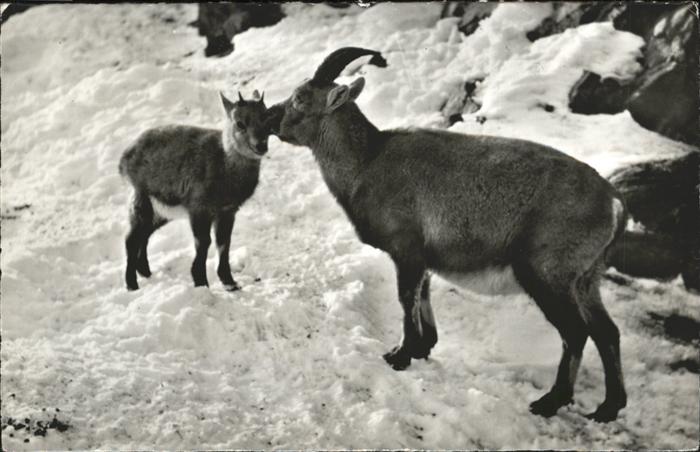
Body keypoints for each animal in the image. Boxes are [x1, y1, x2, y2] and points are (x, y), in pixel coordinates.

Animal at [119, 90, 269, 291]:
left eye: (266, 116)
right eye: (240, 123)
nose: (260, 145)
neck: (225, 167)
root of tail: (125, 158)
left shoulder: (228, 211)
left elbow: (224, 243)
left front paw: (229, 282)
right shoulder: (199, 208)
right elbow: (204, 242)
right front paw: (200, 281)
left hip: (162, 210)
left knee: (145, 234)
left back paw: (144, 271)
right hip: (142, 197)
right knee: (132, 238)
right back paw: (132, 284)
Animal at [267, 47, 628, 422]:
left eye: (300, 98)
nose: (267, 118)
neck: (368, 164)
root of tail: (613, 202)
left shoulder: (406, 248)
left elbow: (407, 298)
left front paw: (401, 354)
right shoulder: (423, 255)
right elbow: (423, 294)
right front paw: (422, 347)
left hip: (547, 274)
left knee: (577, 332)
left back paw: (551, 401)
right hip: (586, 278)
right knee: (607, 332)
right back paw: (608, 407)